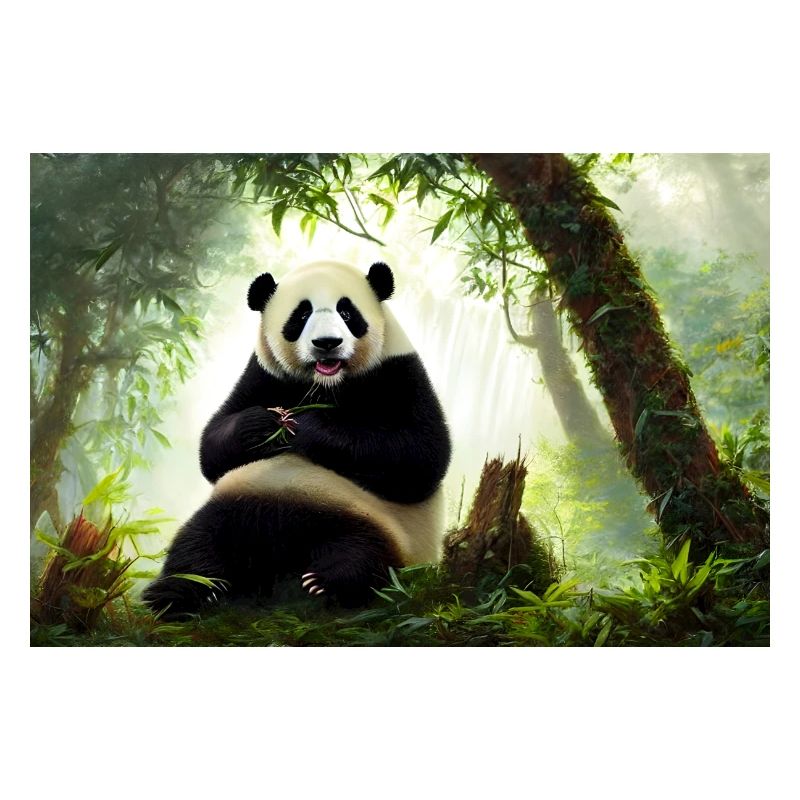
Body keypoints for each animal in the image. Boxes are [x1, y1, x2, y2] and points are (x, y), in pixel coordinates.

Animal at [143, 260, 451, 617]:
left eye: (347, 312)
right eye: (301, 315)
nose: (327, 342)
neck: (326, 384)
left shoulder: (399, 371)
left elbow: (420, 456)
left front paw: (305, 426)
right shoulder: (263, 373)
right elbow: (213, 448)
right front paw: (264, 424)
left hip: (381, 527)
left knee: (366, 557)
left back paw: (329, 582)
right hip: (237, 505)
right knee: (197, 546)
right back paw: (178, 592)